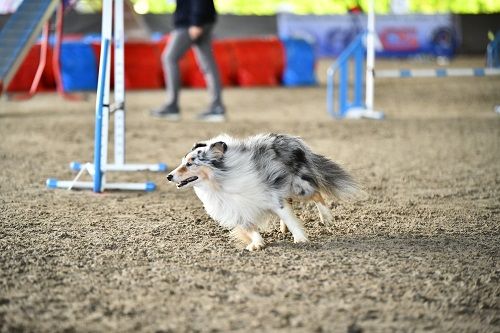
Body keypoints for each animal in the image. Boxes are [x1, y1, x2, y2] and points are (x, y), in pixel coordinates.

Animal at [167, 132, 360, 249]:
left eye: (190, 164)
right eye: (182, 162)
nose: (169, 176)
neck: (219, 183)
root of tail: (290, 139)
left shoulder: (272, 198)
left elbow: (290, 218)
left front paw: (300, 239)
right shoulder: (237, 209)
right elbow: (249, 227)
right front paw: (257, 244)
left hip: (298, 185)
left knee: (317, 194)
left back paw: (326, 217)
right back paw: (283, 229)